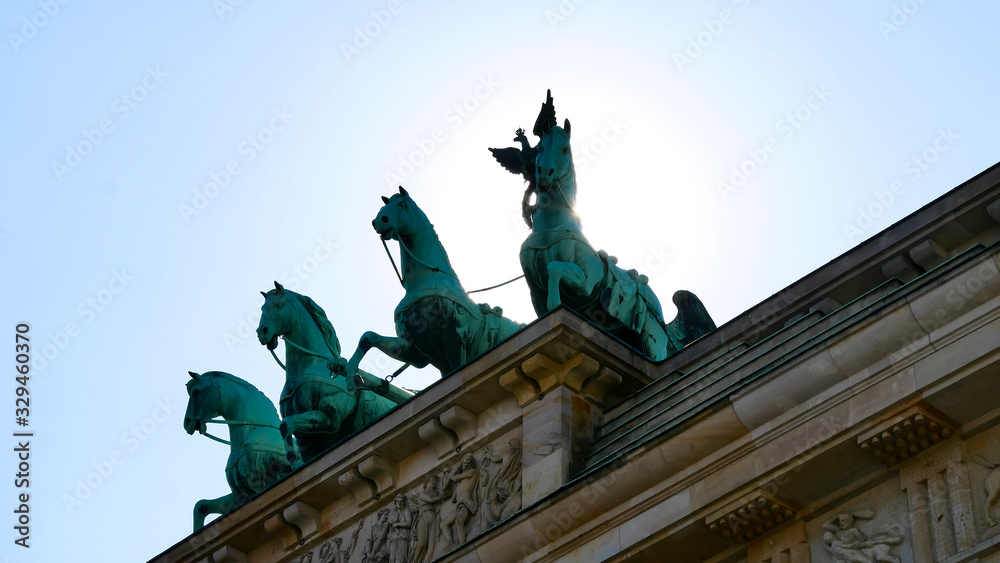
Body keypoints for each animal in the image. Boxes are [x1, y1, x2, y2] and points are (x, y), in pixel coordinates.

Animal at [184, 372, 292, 532]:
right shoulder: (240, 494)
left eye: (196, 392)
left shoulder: (265, 479)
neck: (253, 431)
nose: (187, 422)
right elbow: (201, 505)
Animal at [256, 284, 408, 464]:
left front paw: (291, 455)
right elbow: (286, 426)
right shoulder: (305, 439)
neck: (310, 368)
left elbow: (286, 424)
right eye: (262, 308)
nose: (262, 332)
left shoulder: (328, 418)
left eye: (279, 305)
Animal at [346, 187, 524, 382]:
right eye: (383, 207)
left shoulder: (454, 338)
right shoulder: (417, 351)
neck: (424, 281)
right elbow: (369, 337)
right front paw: (350, 373)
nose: (379, 220)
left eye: (403, 204)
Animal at [490, 90, 712, 360]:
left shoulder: (585, 284)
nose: (542, 174)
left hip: (653, 339)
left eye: (564, 149)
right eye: (540, 148)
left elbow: (554, 268)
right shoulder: (535, 291)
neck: (550, 226)